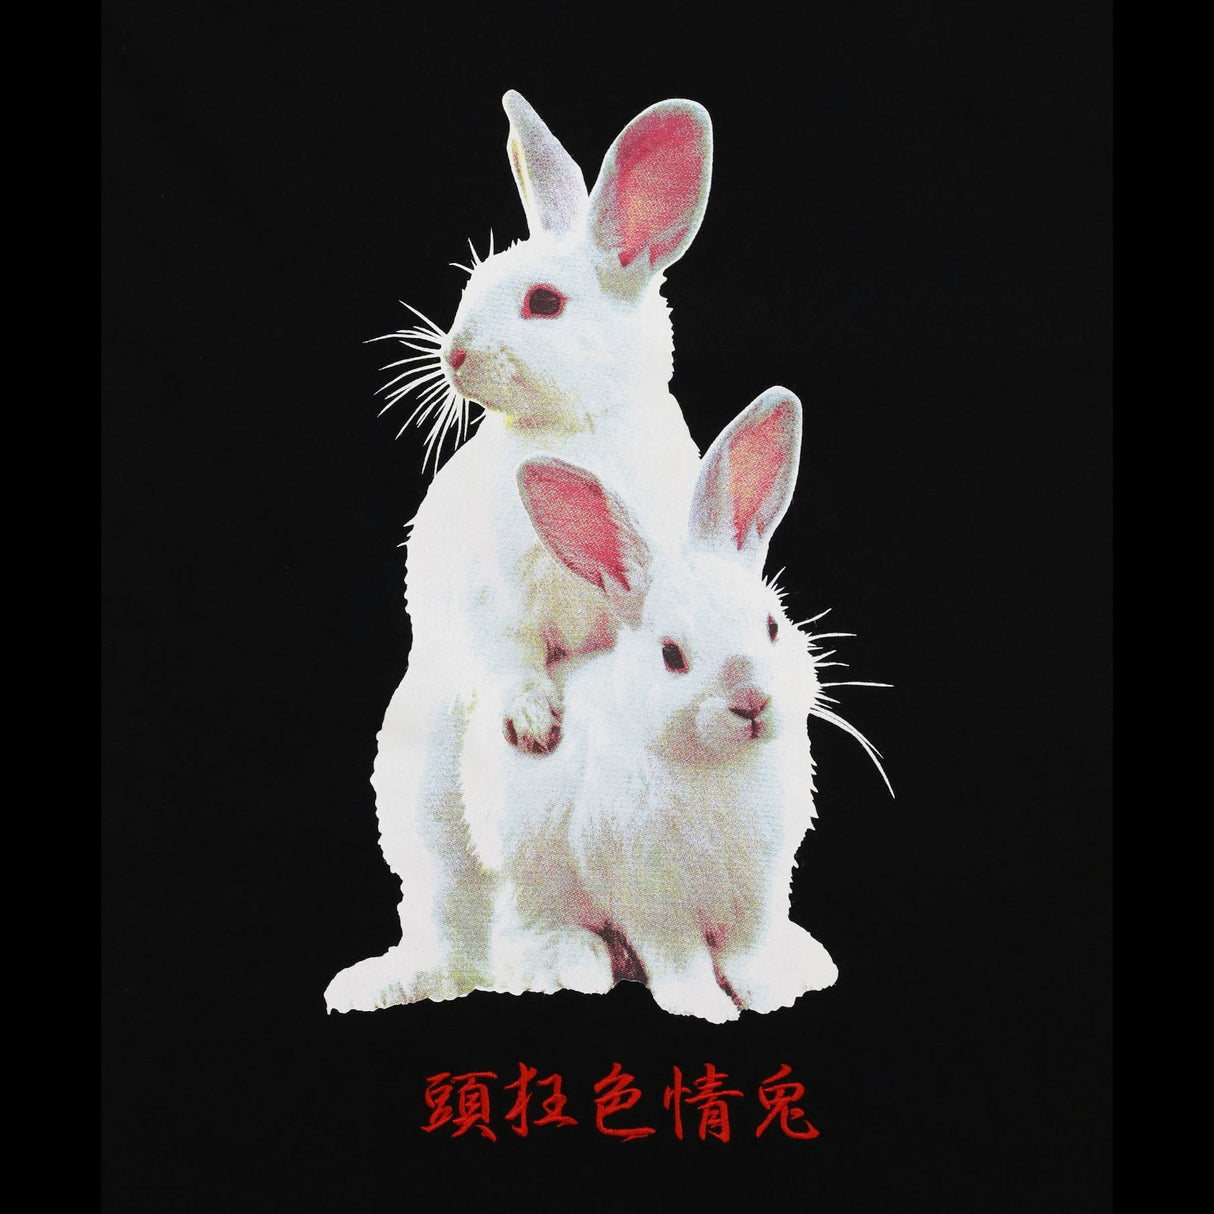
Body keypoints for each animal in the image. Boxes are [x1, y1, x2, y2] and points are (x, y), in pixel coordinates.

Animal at [325, 91, 714, 1013]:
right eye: (472, 287)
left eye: (542, 302)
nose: (454, 354)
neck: (577, 430)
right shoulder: (493, 600)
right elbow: (510, 655)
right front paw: (533, 723)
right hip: (428, 809)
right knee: (463, 920)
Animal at [459, 387, 869, 1023]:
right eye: (671, 655)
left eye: (773, 625)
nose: (750, 702)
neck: (717, 765)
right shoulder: (648, 898)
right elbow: (678, 957)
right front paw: (704, 1008)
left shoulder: (758, 889)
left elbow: (748, 949)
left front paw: (774, 990)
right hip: (528, 884)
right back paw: (572, 964)